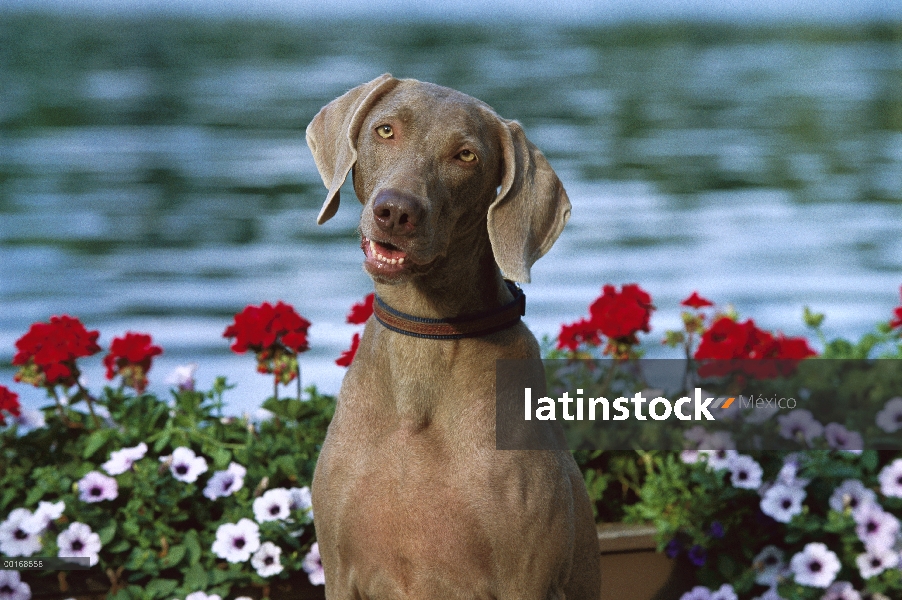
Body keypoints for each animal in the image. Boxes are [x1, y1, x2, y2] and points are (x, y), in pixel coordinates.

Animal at [308, 75, 604, 600]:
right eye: (385, 130)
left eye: (466, 156)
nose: (395, 211)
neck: (427, 336)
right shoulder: (340, 573)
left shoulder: (526, 578)